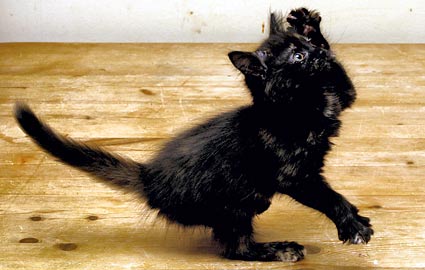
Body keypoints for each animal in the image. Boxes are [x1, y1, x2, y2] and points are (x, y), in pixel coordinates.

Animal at [13, 7, 372, 262]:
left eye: (308, 47)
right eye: (298, 57)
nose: (318, 54)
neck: (304, 102)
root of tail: (149, 177)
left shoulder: (340, 97)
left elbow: (342, 80)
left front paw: (309, 24)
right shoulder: (294, 175)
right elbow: (329, 196)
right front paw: (350, 223)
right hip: (235, 204)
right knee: (235, 248)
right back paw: (279, 249)